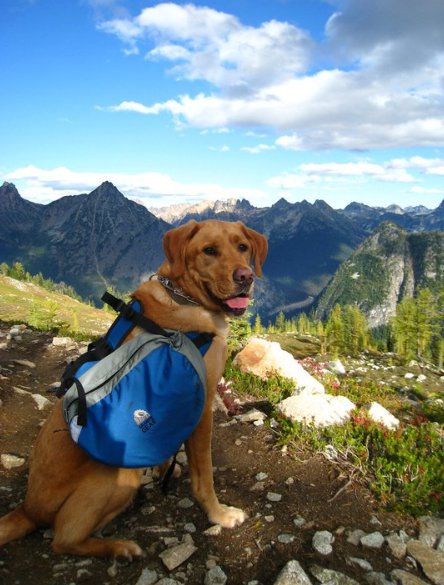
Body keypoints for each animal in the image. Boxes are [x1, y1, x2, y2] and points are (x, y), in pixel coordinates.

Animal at [0, 221, 268, 560]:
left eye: (242, 247)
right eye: (209, 250)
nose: (245, 277)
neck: (184, 297)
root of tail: (27, 507)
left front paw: (163, 467)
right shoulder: (203, 404)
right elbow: (204, 476)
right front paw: (219, 514)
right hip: (118, 477)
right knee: (63, 539)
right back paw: (119, 546)